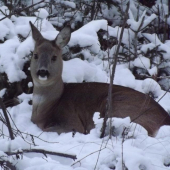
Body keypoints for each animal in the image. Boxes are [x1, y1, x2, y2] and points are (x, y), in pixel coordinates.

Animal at [29, 21, 170, 137]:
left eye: (54, 57)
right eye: (35, 55)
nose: (42, 71)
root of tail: (165, 120)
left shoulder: (72, 122)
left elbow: (47, 129)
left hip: (117, 106)